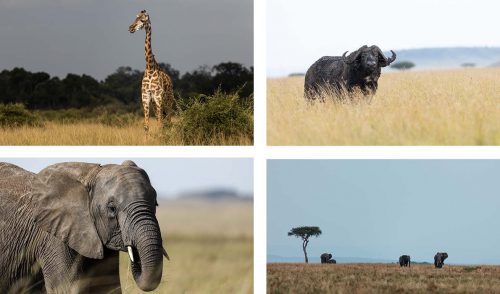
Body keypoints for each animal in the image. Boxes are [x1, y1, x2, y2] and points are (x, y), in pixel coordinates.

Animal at [0, 162, 169, 292]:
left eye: (155, 204)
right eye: (112, 209)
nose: (136, 258)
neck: (90, 175)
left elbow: (108, 287)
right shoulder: (54, 237)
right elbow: (67, 288)